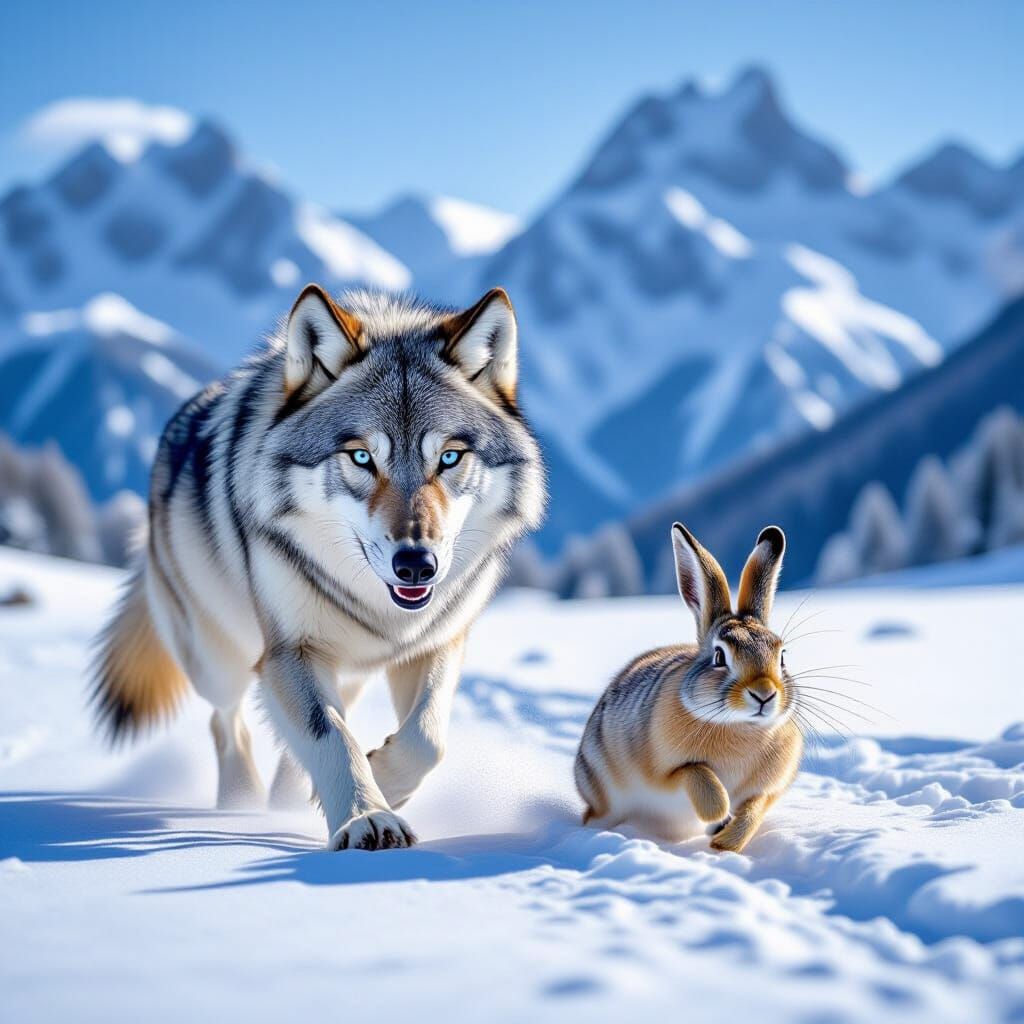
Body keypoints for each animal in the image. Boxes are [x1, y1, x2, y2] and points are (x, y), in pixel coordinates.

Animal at [90, 284, 546, 850]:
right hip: (217, 659)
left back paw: (288, 799)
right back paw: (242, 804)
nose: (417, 565)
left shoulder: (436, 641)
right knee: (226, 722)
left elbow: (427, 738)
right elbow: (329, 736)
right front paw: (368, 817)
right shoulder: (289, 651)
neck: (382, 609)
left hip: (344, 671)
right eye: (361, 458)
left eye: (449, 458)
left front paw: (384, 779)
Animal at [574, 522, 802, 853]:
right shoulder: (666, 772)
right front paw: (718, 816)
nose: (764, 693)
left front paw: (726, 841)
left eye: (782, 656)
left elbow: (753, 810)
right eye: (719, 656)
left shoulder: (767, 789)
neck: (741, 726)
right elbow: (696, 773)